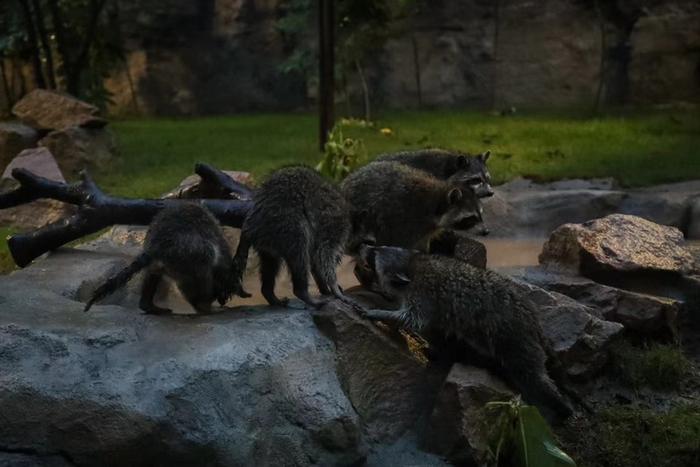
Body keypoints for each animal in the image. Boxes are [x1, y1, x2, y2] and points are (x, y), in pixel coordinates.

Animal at [358, 245, 572, 420]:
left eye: (374, 255)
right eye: (378, 247)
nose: (363, 245)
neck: (412, 263)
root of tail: (533, 318)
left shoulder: (424, 293)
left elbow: (413, 319)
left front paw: (381, 314)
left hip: (516, 337)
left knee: (532, 374)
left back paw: (558, 403)